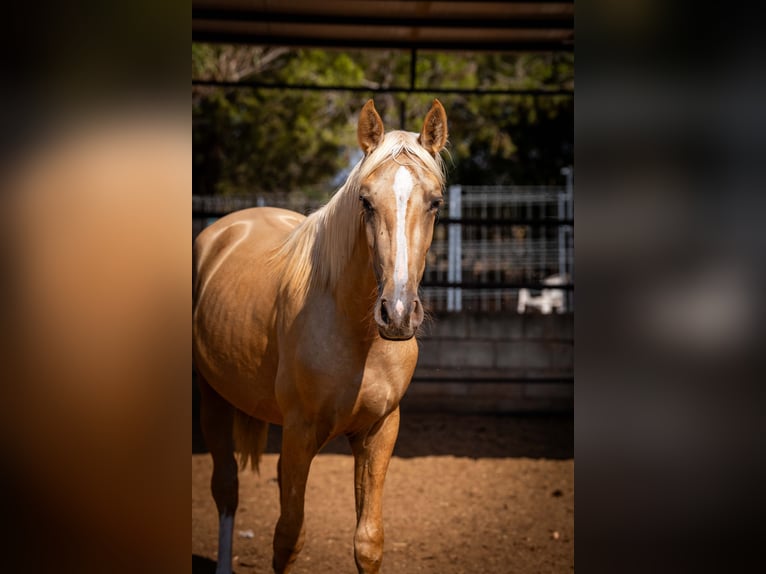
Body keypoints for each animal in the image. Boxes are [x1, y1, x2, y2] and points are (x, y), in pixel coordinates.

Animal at [192, 100, 452, 574]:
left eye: (436, 202)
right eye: (365, 201)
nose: (398, 314)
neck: (358, 335)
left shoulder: (379, 431)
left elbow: (368, 541)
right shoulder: (299, 435)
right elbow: (288, 538)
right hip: (213, 398)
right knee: (226, 490)